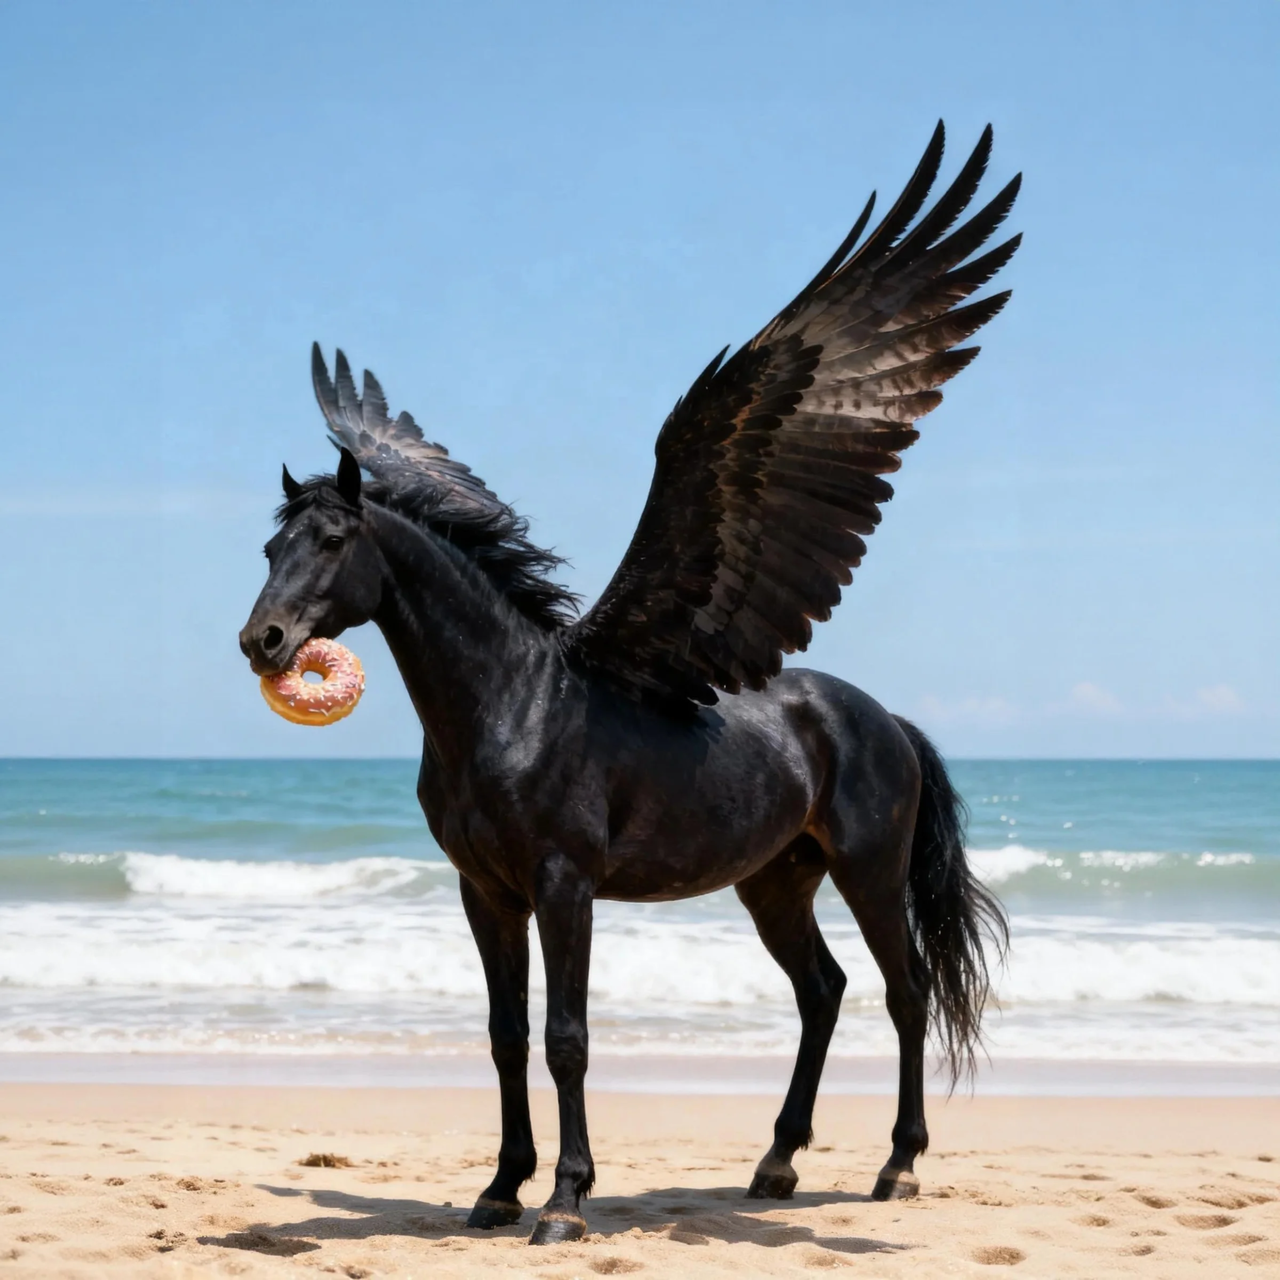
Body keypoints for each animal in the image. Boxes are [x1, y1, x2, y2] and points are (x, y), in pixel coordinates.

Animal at [240, 121, 1015, 1244]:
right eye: (270, 544)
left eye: (334, 540)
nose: (263, 640)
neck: (508, 708)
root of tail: (882, 720)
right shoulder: (485, 890)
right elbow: (505, 1032)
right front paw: (498, 1187)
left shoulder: (564, 882)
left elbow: (566, 1035)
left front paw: (563, 1199)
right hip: (775, 879)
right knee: (822, 990)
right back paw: (776, 1160)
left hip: (867, 868)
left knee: (903, 990)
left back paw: (897, 1165)